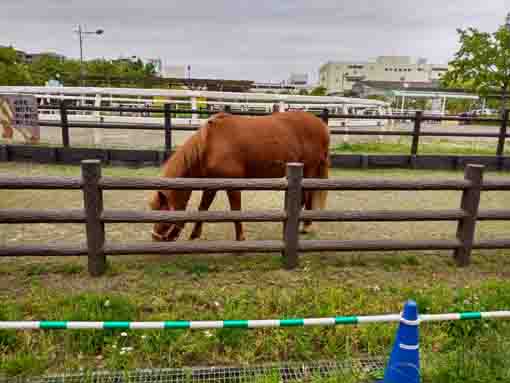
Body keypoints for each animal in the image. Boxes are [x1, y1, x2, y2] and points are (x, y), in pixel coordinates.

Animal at [149, 111, 328, 242]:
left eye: (163, 211)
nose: (155, 237)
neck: (210, 144)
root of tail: (321, 125)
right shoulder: (212, 184)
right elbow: (203, 208)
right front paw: (194, 235)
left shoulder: (233, 185)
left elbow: (236, 210)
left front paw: (240, 238)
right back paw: (305, 226)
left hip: (309, 170)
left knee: (305, 197)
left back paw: (303, 226)